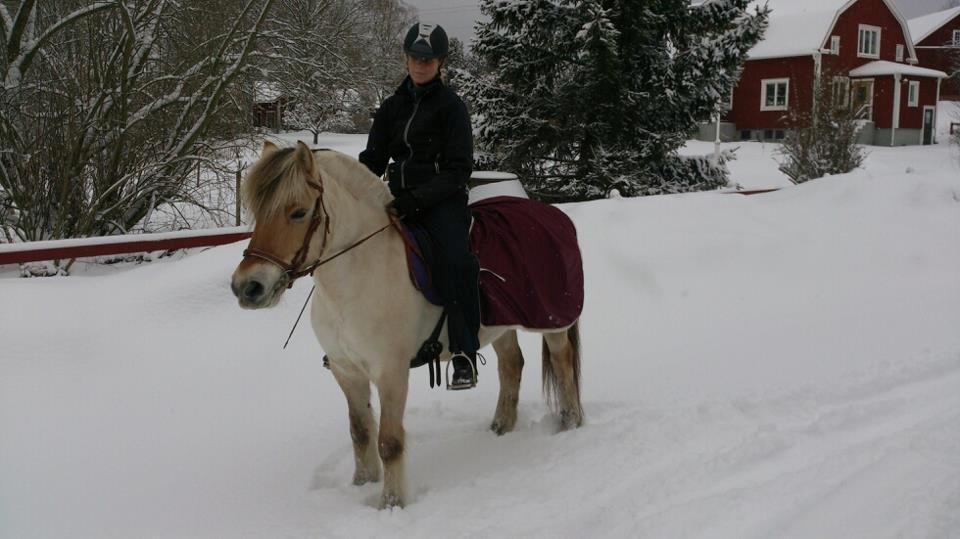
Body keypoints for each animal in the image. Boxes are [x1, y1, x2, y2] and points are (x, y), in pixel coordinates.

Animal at [232, 141, 584, 508]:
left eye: (298, 212)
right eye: (258, 212)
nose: (247, 287)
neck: (358, 275)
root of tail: (554, 216)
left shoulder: (391, 372)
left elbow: (389, 442)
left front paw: (391, 503)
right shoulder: (347, 371)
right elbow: (360, 432)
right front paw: (362, 483)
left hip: (553, 321)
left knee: (561, 361)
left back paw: (570, 423)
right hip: (500, 323)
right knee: (512, 364)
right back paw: (501, 426)